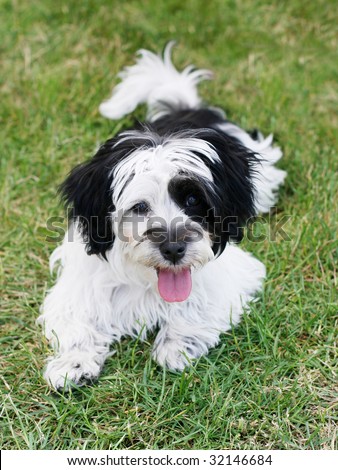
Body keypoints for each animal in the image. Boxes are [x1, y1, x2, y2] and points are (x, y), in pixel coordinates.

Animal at [37, 43, 286, 390]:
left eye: (193, 199)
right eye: (140, 207)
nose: (173, 249)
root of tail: (186, 108)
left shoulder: (233, 271)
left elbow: (199, 303)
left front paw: (176, 345)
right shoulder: (81, 278)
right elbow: (78, 317)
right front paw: (73, 362)